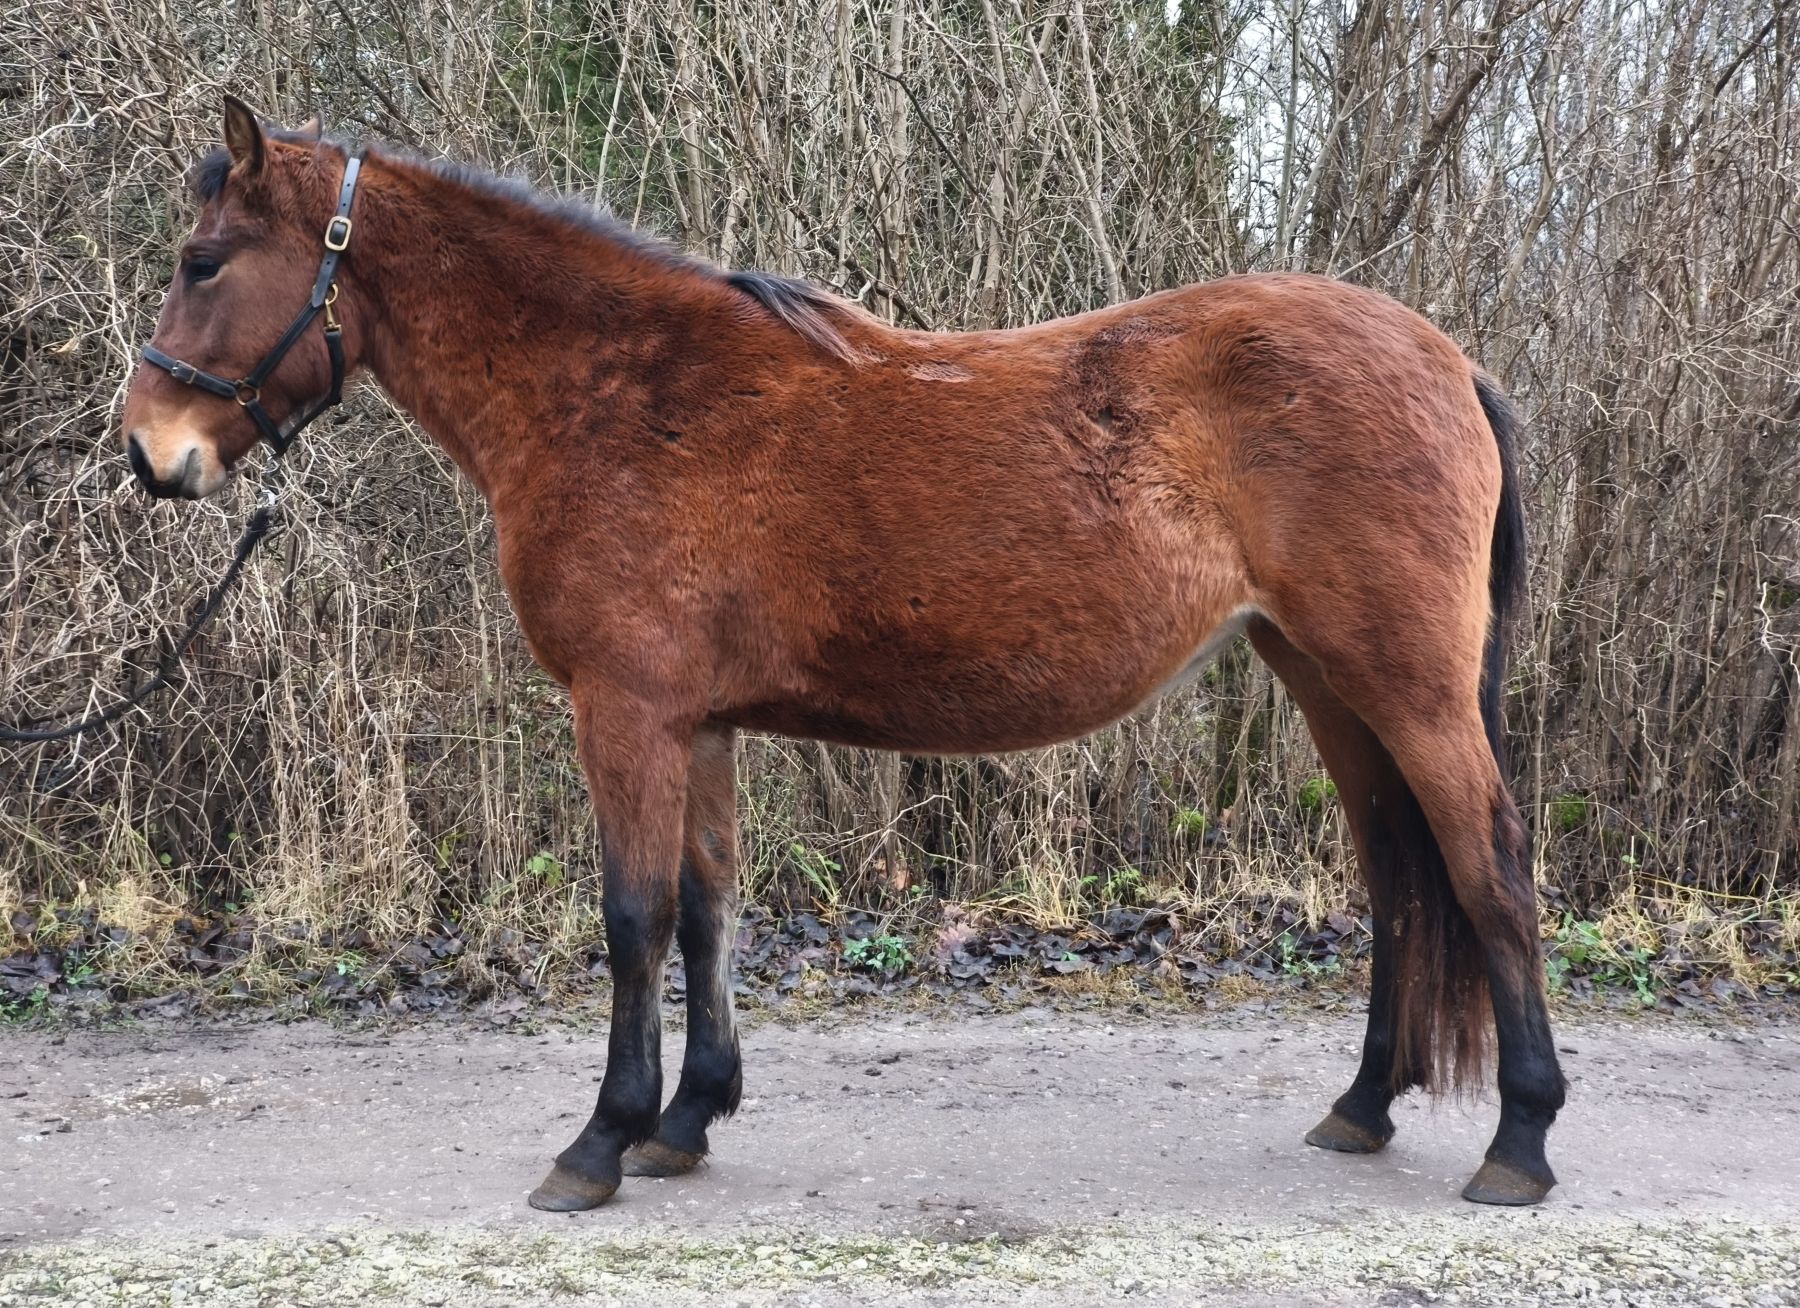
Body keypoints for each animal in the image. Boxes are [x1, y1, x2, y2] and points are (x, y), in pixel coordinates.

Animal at [120, 99, 1566, 1210]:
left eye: (204, 261)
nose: (149, 455)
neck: (616, 392)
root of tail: (1446, 358)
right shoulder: (695, 721)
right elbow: (706, 910)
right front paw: (685, 1121)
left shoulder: (625, 711)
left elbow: (633, 919)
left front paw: (599, 1142)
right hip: (1323, 680)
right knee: (1398, 877)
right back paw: (1364, 1106)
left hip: (1406, 686)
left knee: (1487, 867)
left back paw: (1520, 1140)